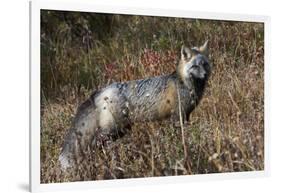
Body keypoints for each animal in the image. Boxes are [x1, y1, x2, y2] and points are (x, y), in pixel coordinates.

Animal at [58, 40, 210, 169]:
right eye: (195, 66)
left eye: (205, 64)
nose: (205, 74)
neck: (184, 84)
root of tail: (101, 91)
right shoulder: (177, 117)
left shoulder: (186, 115)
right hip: (112, 129)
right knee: (95, 143)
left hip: (121, 130)